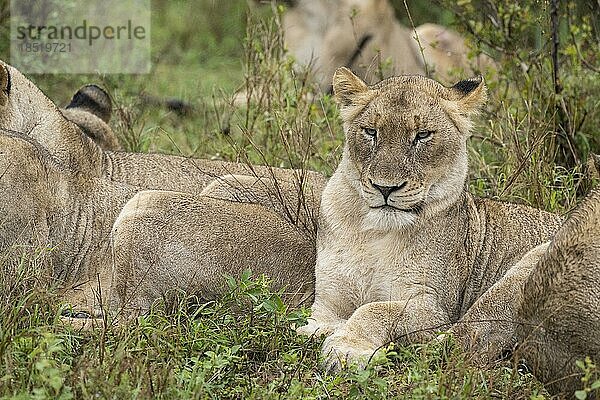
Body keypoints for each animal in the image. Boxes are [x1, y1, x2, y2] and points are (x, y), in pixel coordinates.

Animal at [296, 68, 564, 372]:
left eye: (422, 135)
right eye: (371, 132)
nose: (385, 188)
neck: (375, 232)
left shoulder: (434, 307)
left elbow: (375, 309)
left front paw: (347, 348)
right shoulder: (329, 300)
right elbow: (314, 322)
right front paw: (318, 332)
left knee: (464, 340)